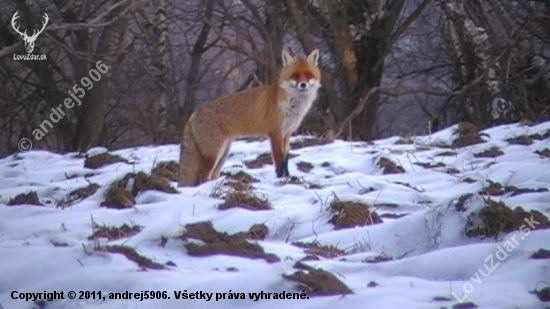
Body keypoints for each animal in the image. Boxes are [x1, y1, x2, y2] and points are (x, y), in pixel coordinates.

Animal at [179, 49, 322, 186]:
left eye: (308, 75)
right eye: (295, 75)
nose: (303, 84)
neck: (291, 105)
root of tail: (193, 114)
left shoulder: (287, 134)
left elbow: (286, 159)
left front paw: (288, 177)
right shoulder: (275, 133)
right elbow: (279, 161)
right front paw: (281, 180)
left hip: (223, 153)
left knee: (211, 175)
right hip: (215, 154)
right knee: (202, 177)